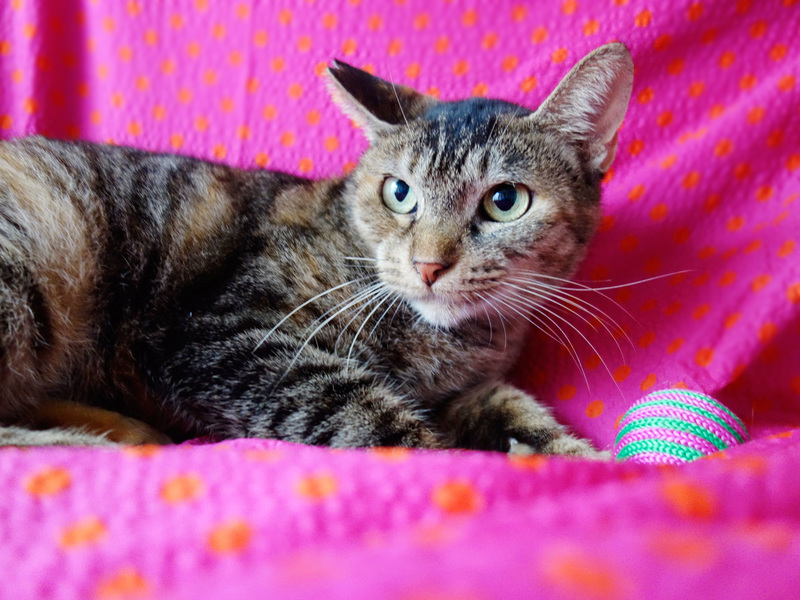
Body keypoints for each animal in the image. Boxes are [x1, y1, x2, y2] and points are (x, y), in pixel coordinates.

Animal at [0, 43, 633, 454]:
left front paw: (577, 458)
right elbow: (373, 420)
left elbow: (515, 408)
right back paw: (88, 442)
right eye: (399, 192)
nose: (428, 265)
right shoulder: (222, 337)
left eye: (504, 201)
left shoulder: (466, 391)